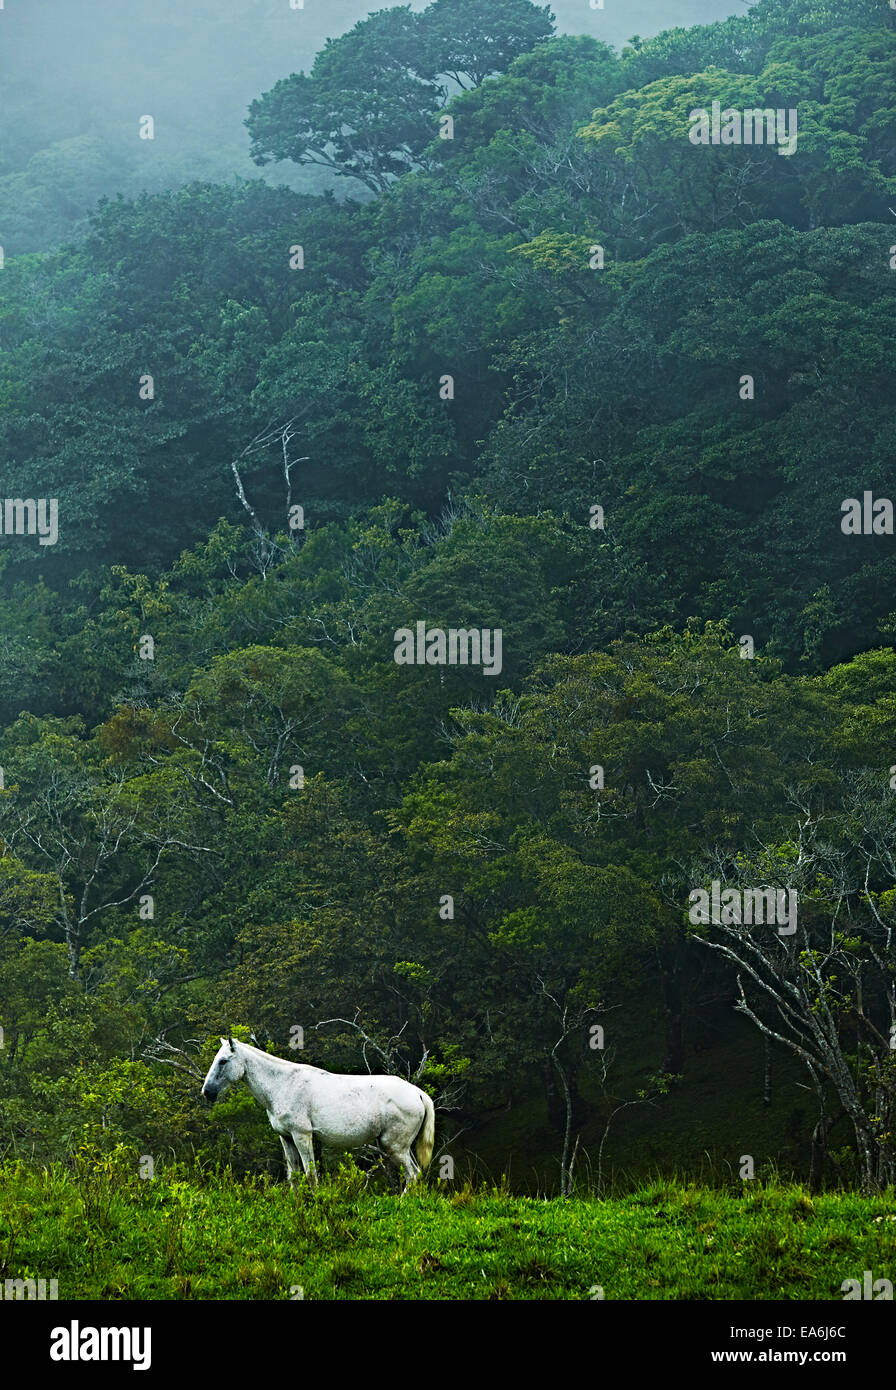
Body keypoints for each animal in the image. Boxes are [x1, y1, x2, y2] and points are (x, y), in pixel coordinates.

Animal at [198, 1039, 433, 1189]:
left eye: (223, 1061)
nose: (207, 1092)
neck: (283, 1084)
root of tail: (418, 1093)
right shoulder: (286, 1138)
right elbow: (294, 1176)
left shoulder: (302, 1136)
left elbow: (311, 1176)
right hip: (401, 1147)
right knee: (416, 1174)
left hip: (395, 1146)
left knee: (413, 1175)